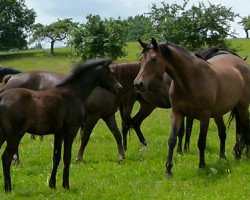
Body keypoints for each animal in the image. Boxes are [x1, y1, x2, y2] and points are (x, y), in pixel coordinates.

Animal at [0, 58, 122, 192]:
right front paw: (66, 185)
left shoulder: (59, 133)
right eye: (111, 73)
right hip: (15, 135)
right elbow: (67, 157)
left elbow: (56, 157)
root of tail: (2, 97)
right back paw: (8, 188)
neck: (73, 92)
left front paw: (52, 184)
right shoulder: (71, 130)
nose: (119, 87)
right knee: (6, 157)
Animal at [135, 38, 250, 177]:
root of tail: (241, 63)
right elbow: (172, 140)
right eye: (141, 59)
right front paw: (168, 170)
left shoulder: (204, 116)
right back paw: (222, 157)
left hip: (242, 108)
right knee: (223, 132)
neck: (191, 79)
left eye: (154, 59)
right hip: (219, 113)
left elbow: (201, 141)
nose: (138, 83)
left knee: (244, 128)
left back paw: (244, 155)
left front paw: (202, 165)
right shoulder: (177, 113)